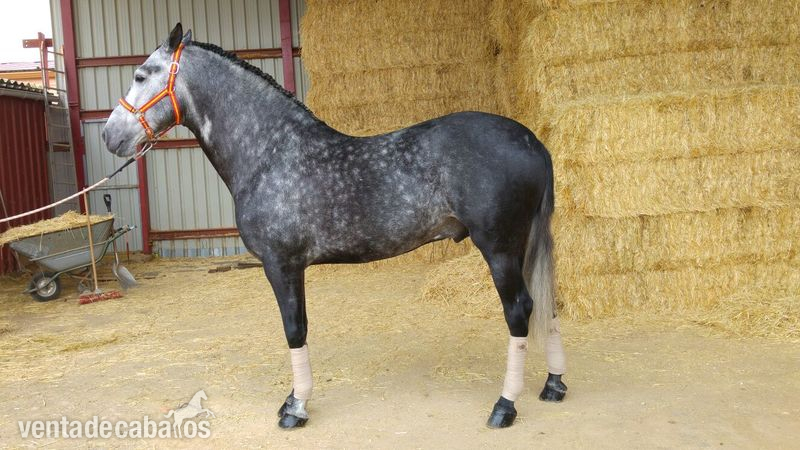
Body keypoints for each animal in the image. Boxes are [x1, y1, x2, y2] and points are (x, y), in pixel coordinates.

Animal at [102, 23, 567, 429]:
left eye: (142, 74)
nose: (110, 137)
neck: (271, 151)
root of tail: (534, 141)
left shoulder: (282, 265)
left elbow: (295, 329)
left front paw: (295, 408)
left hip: (500, 249)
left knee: (519, 311)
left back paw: (504, 407)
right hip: (523, 247)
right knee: (547, 304)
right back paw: (554, 385)